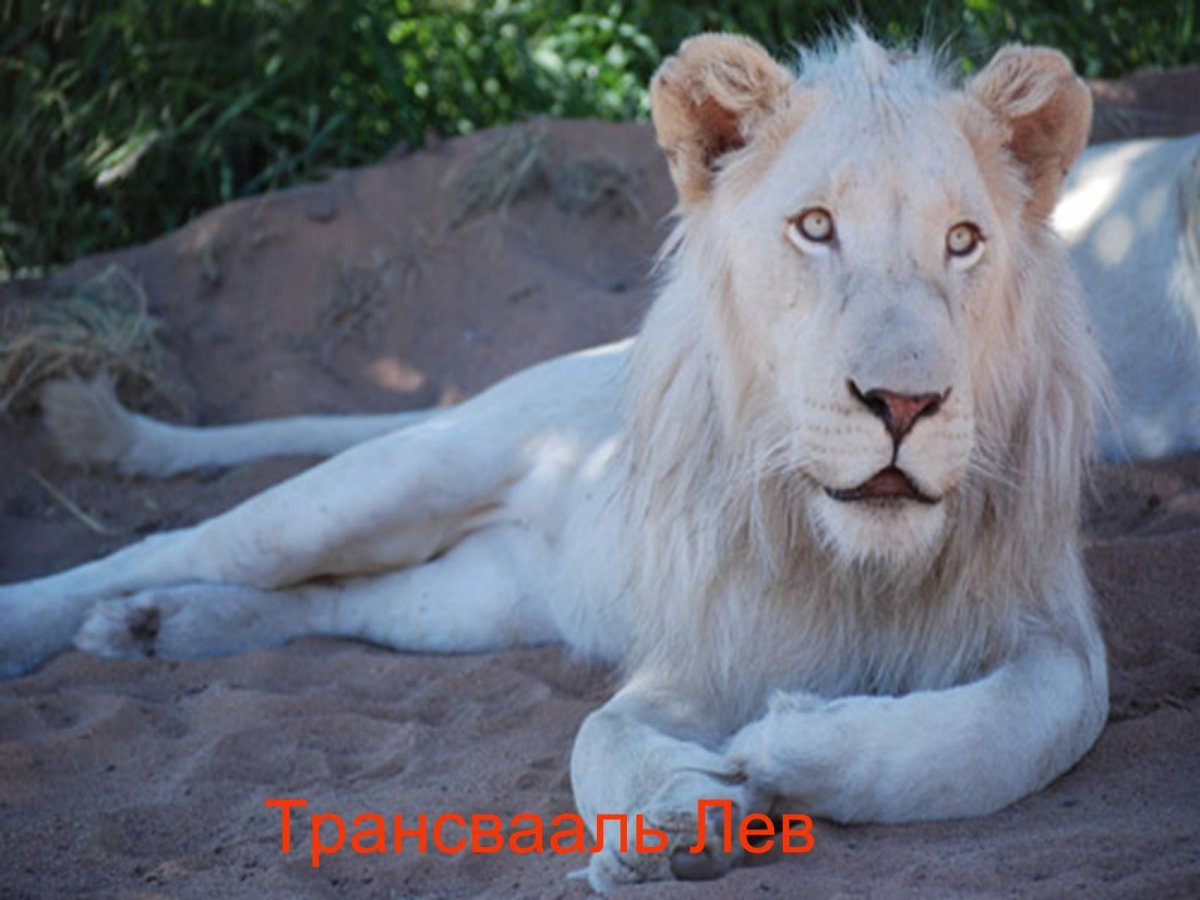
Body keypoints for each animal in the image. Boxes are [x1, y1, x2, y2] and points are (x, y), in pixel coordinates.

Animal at [0, 31, 1108, 888]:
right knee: (193, 545)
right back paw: (88, 615)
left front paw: (780, 748)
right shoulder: (700, 646)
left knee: (342, 602)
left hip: (471, 602)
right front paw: (679, 818)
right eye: (815, 227)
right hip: (401, 478)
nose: (904, 404)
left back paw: (160, 628)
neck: (853, 562)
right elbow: (595, 739)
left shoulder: (1052, 624)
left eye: (963, 240)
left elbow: (1019, 731)